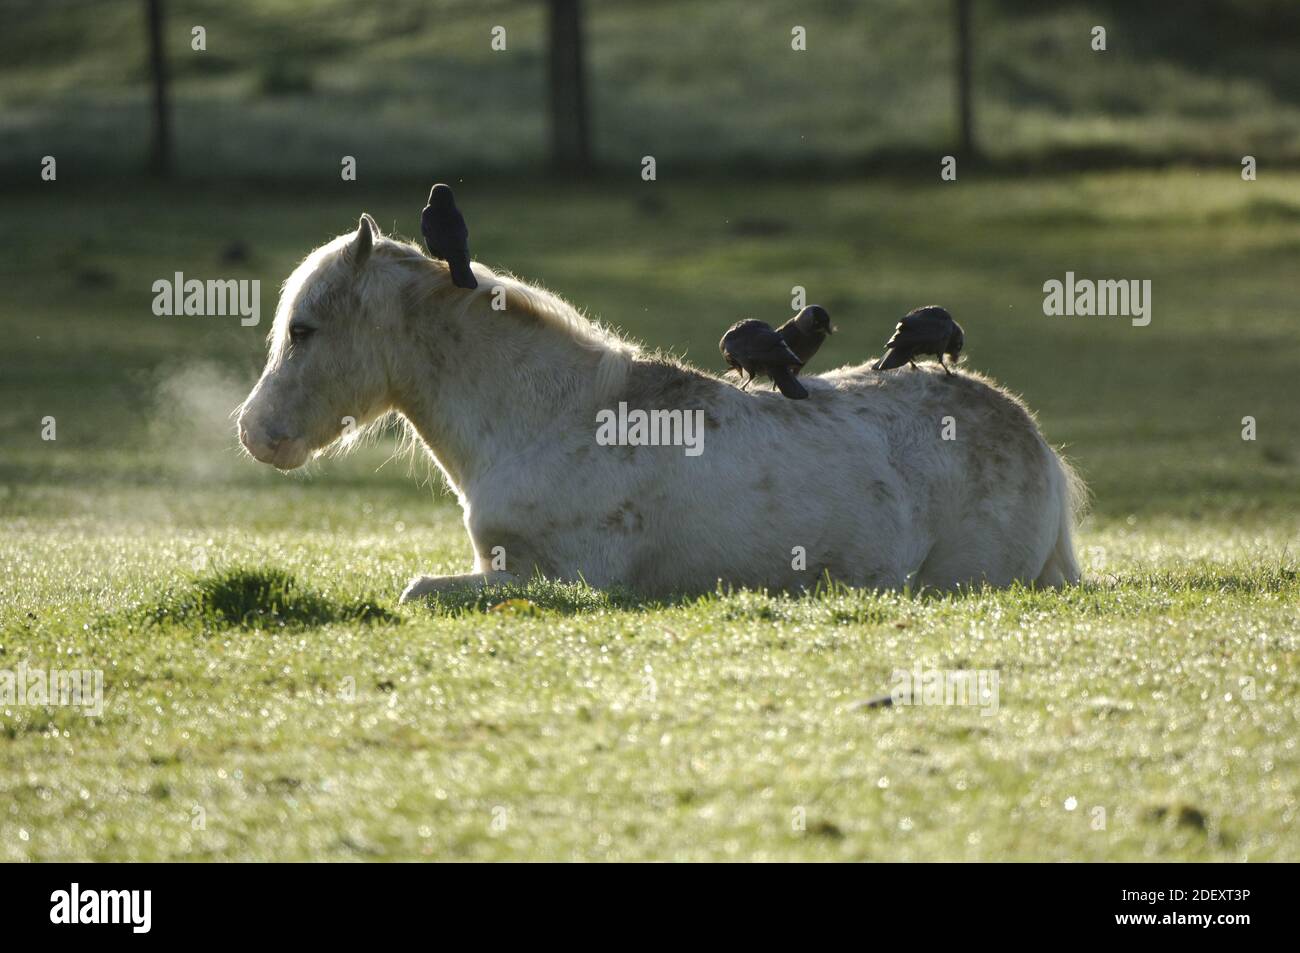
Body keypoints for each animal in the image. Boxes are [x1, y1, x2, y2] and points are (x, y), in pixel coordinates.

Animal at [236, 218, 1086, 598]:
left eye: (304, 329)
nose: (255, 433)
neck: (546, 421)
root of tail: (1034, 440)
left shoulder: (565, 580)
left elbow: (415, 590)